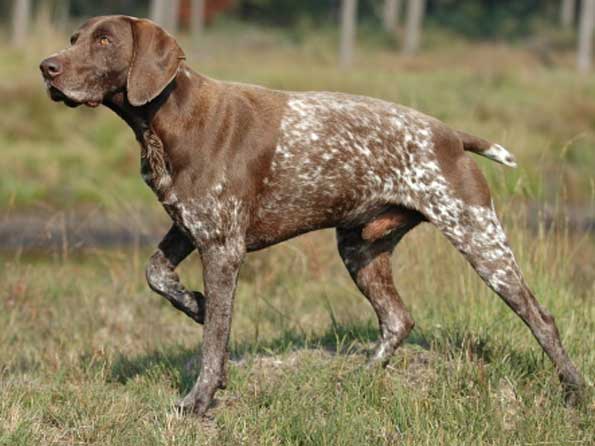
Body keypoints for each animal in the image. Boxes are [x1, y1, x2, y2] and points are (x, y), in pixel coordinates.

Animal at [42, 15, 588, 416]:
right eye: (73, 39)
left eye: (104, 40)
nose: (47, 67)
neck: (168, 117)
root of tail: (451, 134)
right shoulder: (188, 225)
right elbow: (157, 274)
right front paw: (195, 305)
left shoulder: (222, 247)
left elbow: (214, 340)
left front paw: (199, 399)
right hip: (360, 248)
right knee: (397, 320)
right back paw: (361, 379)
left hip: (480, 239)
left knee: (541, 318)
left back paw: (574, 389)